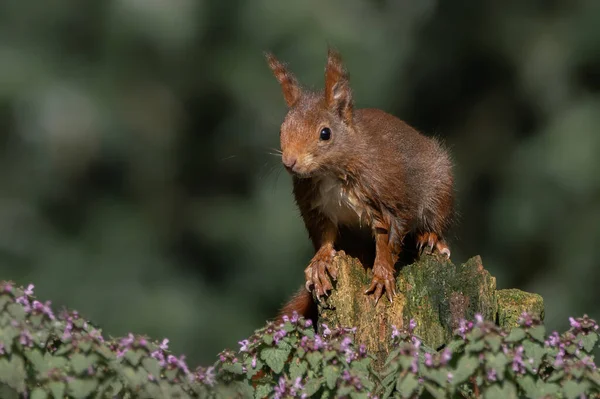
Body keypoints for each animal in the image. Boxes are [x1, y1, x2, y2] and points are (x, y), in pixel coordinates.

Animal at [268, 48, 454, 324]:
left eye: (325, 133)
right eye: (282, 130)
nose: (290, 162)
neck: (332, 173)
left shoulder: (387, 195)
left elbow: (389, 238)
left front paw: (383, 274)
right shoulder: (315, 207)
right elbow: (325, 236)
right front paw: (320, 262)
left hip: (440, 186)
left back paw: (431, 237)